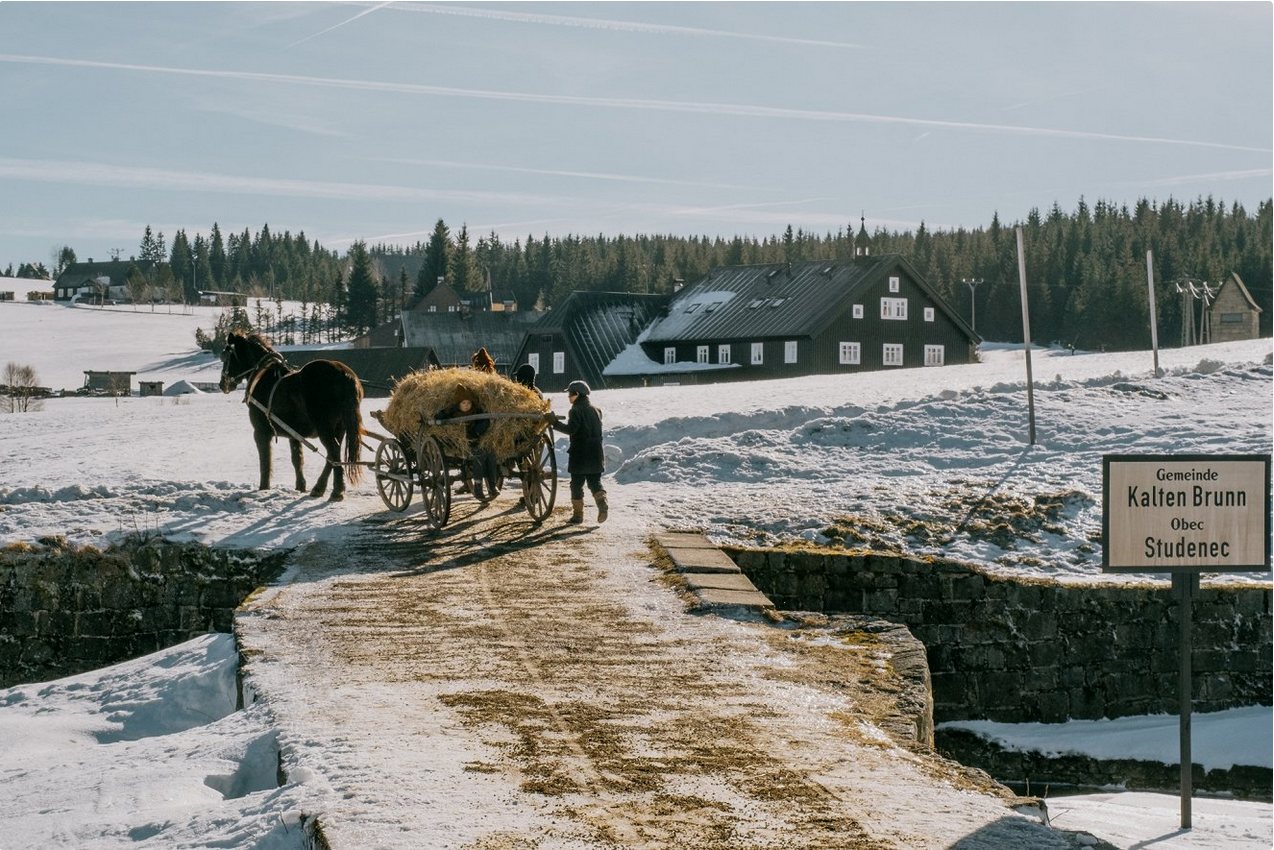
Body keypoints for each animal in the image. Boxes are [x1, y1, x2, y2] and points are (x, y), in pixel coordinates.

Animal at [219, 331, 364, 502]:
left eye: (226, 356)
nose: (222, 384)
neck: (263, 378)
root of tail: (345, 374)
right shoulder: (294, 434)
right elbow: (297, 459)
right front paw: (300, 486)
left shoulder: (260, 432)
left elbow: (265, 461)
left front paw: (264, 488)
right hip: (340, 427)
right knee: (333, 454)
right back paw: (319, 488)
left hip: (325, 426)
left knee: (333, 451)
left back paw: (337, 491)